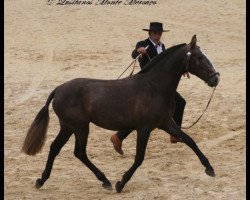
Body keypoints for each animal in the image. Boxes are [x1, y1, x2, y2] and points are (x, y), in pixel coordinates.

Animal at [22, 35, 221, 193]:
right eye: (199, 57)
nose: (216, 78)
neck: (154, 87)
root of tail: (58, 90)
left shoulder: (165, 123)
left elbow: (189, 140)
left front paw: (209, 168)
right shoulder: (144, 128)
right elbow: (139, 158)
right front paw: (121, 183)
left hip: (68, 127)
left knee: (55, 148)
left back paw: (41, 180)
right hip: (80, 127)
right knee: (79, 153)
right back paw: (106, 181)